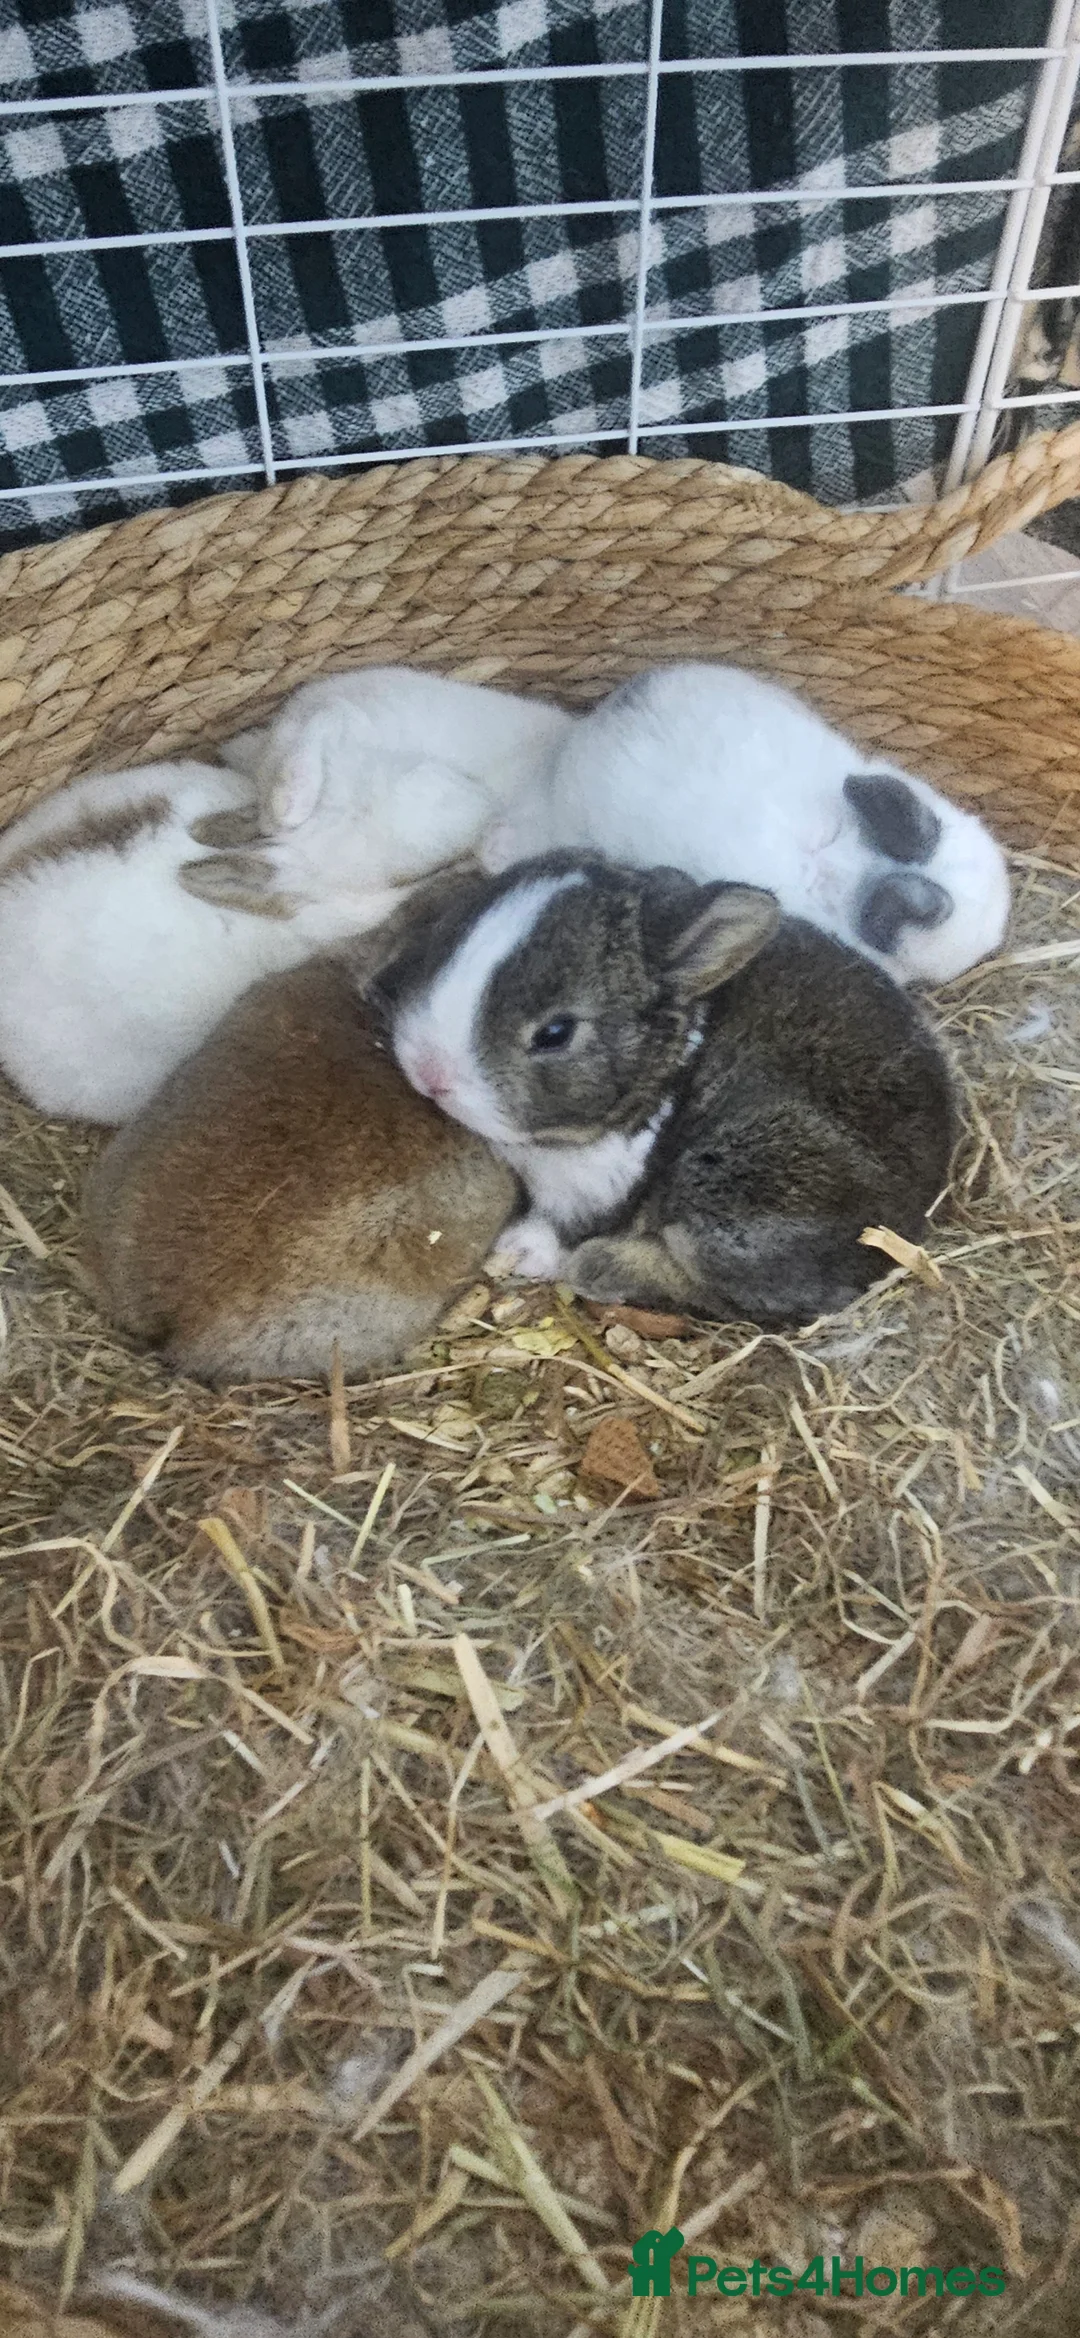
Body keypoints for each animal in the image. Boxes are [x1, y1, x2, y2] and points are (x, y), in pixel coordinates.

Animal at [362, 852, 956, 1328]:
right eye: (442, 941)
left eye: (556, 1032)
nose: (428, 1072)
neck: (665, 1068)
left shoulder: (598, 1189)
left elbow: (565, 1227)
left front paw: (521, 1250)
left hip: (732, 1186)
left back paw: (601, 1265)